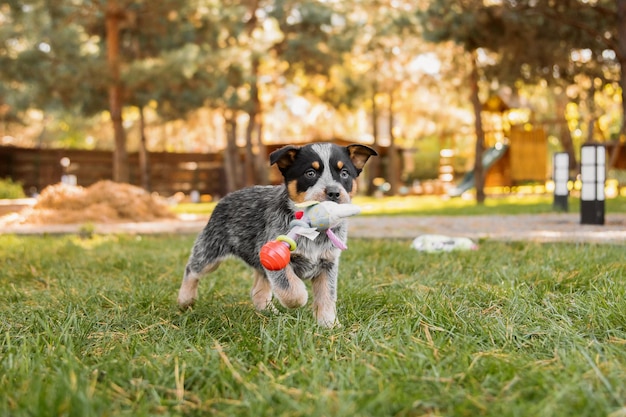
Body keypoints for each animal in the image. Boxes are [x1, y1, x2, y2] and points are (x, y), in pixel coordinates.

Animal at [178, 141, 378, 326]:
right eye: (310, 173)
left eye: (344, 173)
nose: (334, 192)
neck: (313, 232)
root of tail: (225, 197)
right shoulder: (276, 255)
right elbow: (289, 287)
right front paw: (301, 297)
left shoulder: (328, 263)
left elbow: (327, 295)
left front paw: (329, 324)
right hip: (210, 251)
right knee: (192, 269)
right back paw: (185, 300)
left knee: (258, 289)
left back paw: (267, 311)